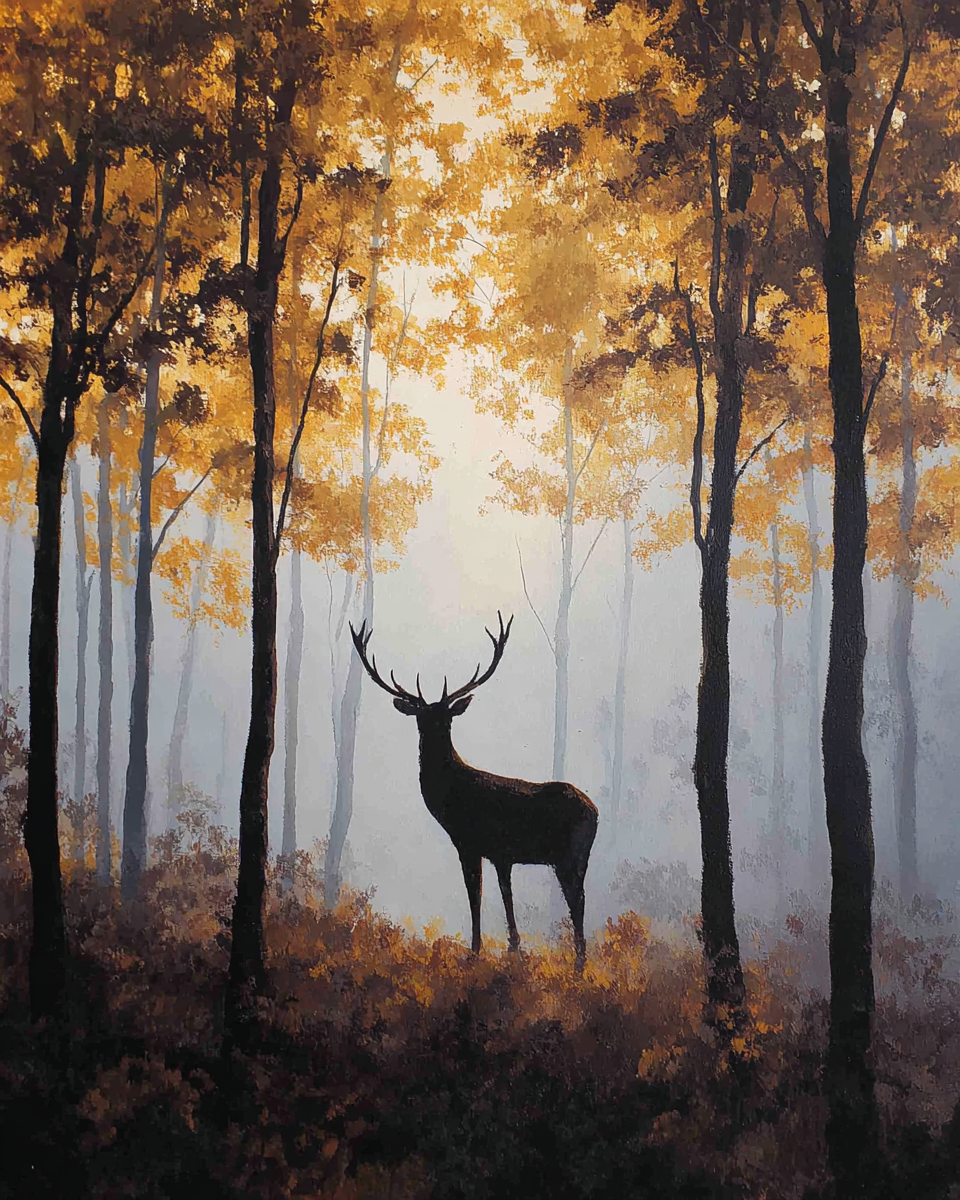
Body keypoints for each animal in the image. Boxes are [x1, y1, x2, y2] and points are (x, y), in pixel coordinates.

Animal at [350, 612, 599, 971]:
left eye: (447, 719)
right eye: (421, 718)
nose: (433, 734)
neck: (451, 799)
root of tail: (595, 811)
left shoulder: (469, 841)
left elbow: (475, 896)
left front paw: (475, 951)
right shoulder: (501, 854)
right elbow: (504, 896)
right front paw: (513, 949)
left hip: (570, 854)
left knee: (577, 900)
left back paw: (579, 964)